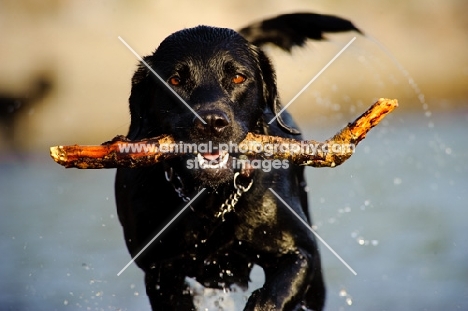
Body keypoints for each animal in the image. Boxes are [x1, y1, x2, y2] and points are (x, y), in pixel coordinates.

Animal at [115, 12, 360, 311]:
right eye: (174, 81)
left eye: (238, 77)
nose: (211, 122)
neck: (212, 200)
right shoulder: (159, 271)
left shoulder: (300, 253)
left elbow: (271, 297)